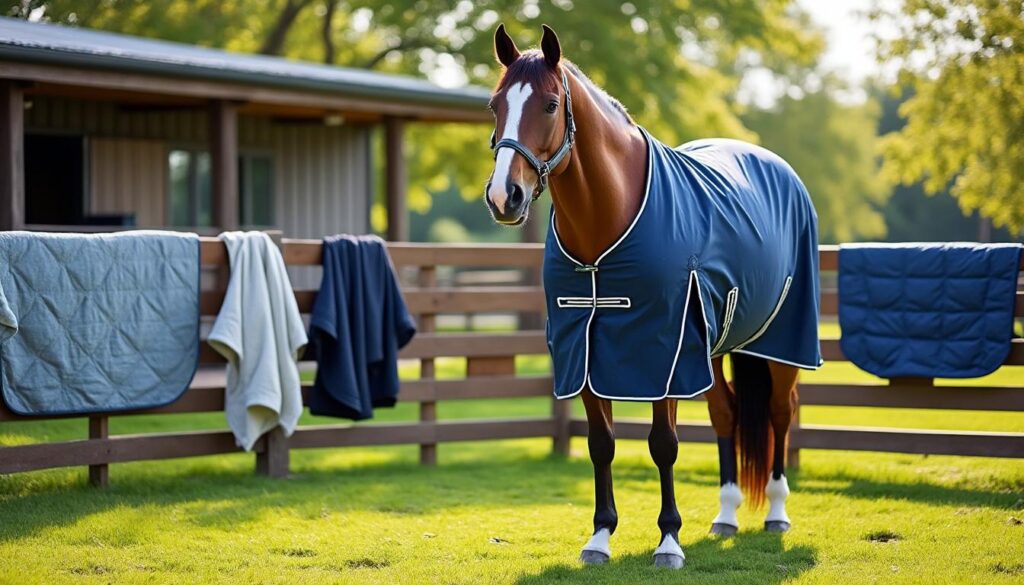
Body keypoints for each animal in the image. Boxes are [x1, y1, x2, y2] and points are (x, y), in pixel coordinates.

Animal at [483, 24, 822, 569]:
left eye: (552, 104)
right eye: (495, 105)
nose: (503, 196)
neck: (604, 224)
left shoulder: (664, 351)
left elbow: (664, 444)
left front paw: (668, 542)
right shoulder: (586, 351)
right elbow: (601, 444)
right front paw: (599, 538)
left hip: (779, 342)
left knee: (779, 411)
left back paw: (775, 513)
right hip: (710, 349)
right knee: (726, 414)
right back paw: (726, 515)